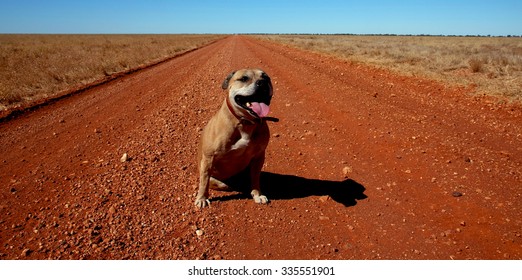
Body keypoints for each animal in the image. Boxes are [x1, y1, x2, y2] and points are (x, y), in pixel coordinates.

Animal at [194, 68, 276, 208]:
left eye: (266, 77)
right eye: (243, 79)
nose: (262, 83)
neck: (245, 122)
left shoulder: (258, 156)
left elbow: (256, 178)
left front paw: (258, 194)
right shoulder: (209, 158)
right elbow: (204, 181)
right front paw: (202, 198)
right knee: (220, 184)